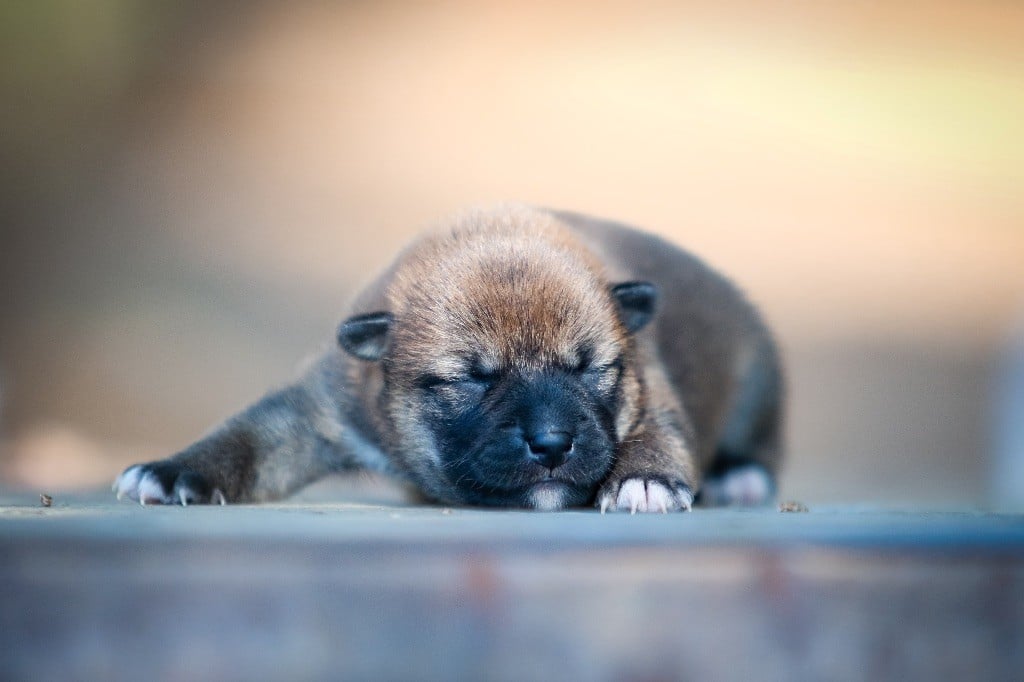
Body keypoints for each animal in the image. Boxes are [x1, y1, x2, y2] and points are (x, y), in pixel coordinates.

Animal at [114, 205, 782, 509]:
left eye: (589, 369)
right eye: (471, 379)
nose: (552, 443)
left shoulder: (651, 387)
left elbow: (658, 431)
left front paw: (644, 478)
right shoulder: (320, 409)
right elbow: (251, 438)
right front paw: (173, 471)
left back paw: (740, 474)